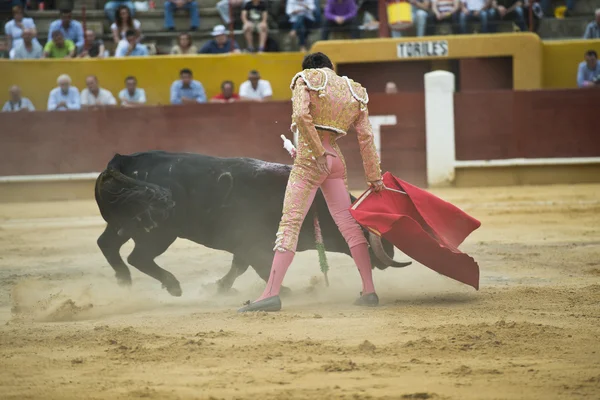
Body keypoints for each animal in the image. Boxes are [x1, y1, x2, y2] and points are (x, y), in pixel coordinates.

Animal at [95, 151, 412, 296]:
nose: (388, 254)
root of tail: (123, 160)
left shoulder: (245, 246)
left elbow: (239, 267)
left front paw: (221, 287)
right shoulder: (254, 243)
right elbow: (260, 267)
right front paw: (284, 291)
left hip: (125, 225)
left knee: (107, 244)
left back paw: (124, 281)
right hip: (158, 232)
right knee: (139, 257)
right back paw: (172, 286)